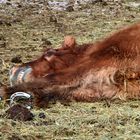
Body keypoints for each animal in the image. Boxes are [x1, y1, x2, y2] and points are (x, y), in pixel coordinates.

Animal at [1, 22, 140, 108]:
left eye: (48, 53)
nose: (12, 69)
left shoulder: (94, 63)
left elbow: (51, 78)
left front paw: (6, 91)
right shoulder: (103, 87)